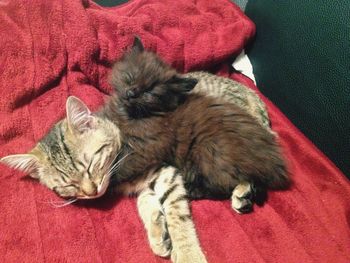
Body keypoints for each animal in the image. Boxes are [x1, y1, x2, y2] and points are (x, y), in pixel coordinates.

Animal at [0, 38, 288, 262]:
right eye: (67, 186)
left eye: (91, 164)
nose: (92, 192)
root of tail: (254, 98)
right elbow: (145, 203)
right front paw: (158, 233)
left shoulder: (164, 168)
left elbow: (177, 215)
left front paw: (188, 253)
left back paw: (241, 192)